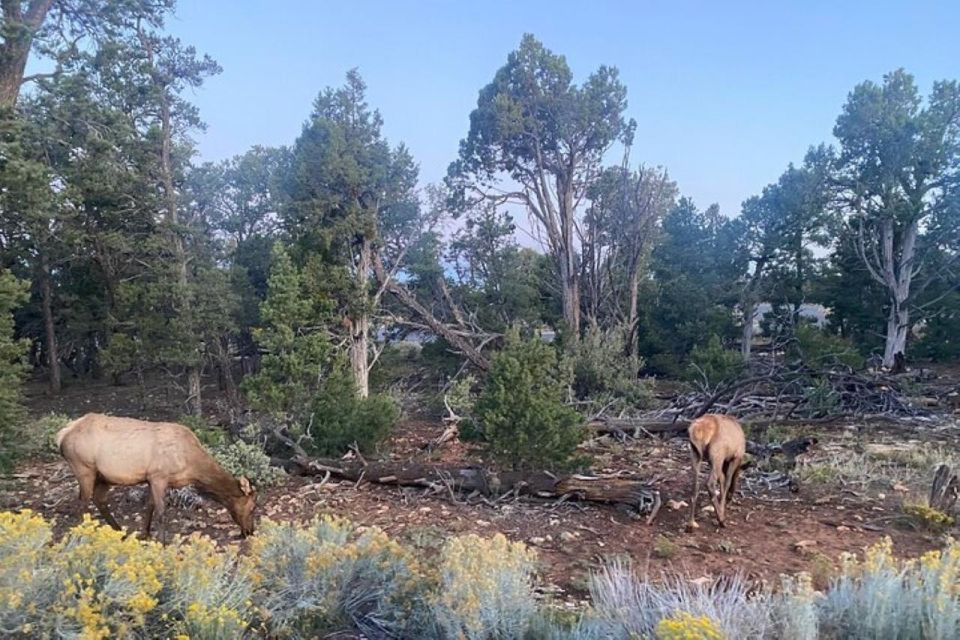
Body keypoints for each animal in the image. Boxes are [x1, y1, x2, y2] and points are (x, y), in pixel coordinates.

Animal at [58, 416, 256, 540]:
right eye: (253, 507)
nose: (250, 531)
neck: (191, 465)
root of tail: (61, 435)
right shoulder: (158, 476)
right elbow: (161, 512)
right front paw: (162, 541)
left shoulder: (151, 479)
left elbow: (150, 506)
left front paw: (145, 534)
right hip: (84, 468)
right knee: (82, 504)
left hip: (104, 477)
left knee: (98, 500)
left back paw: (120, 531)